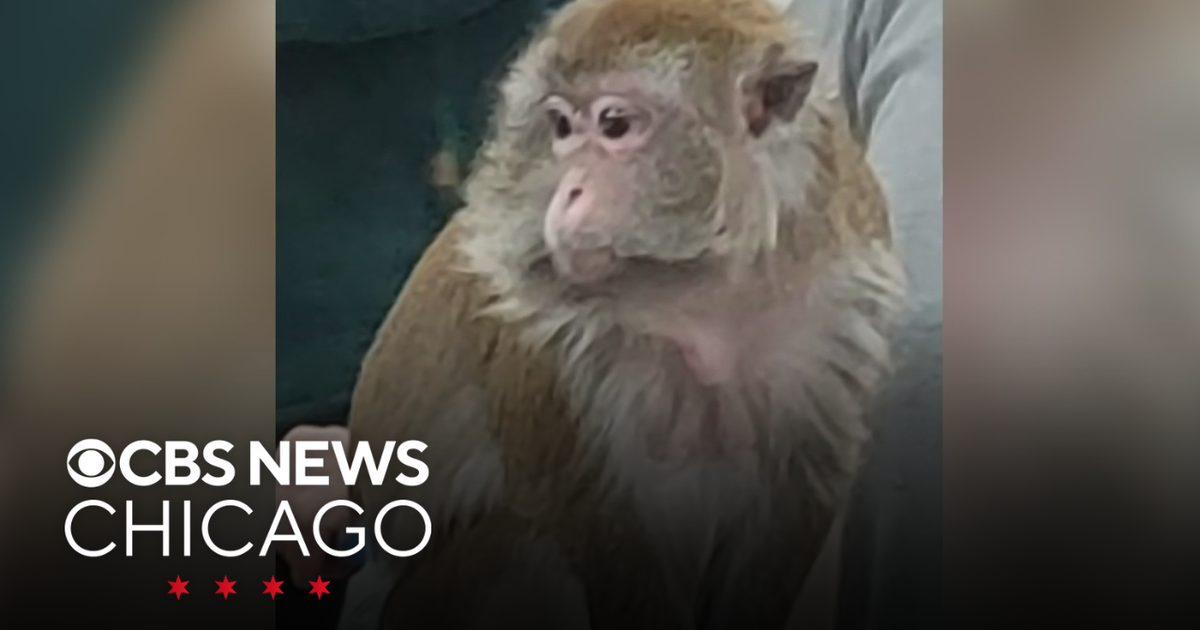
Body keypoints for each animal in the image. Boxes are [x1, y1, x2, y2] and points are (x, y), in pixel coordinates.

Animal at [335, 0, 907, 628]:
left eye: (614, 125)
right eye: (562, 127)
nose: (567, 193)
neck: (704, 293)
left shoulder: (838, 320)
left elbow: (795, 499)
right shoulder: (557, 349)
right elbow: (594, 519)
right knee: (521, 541)